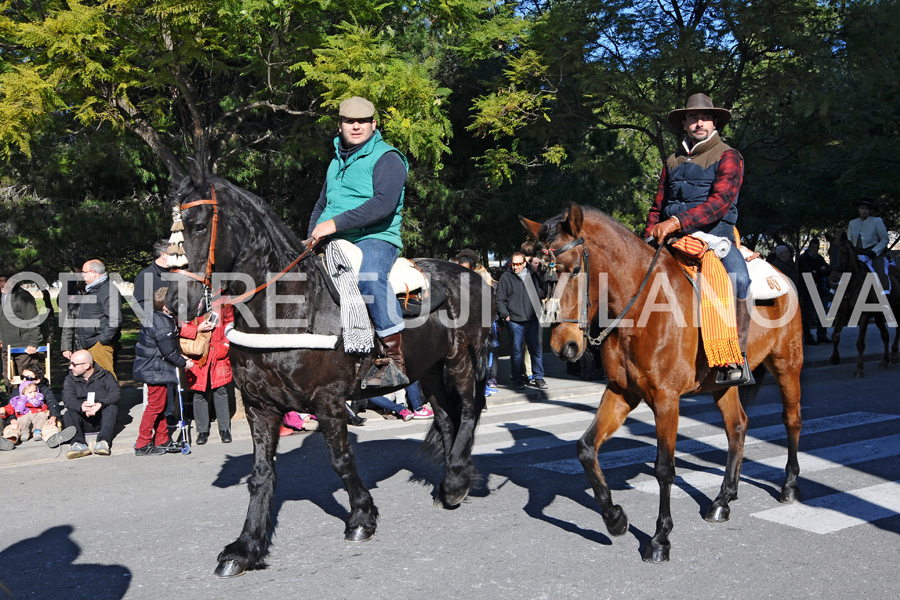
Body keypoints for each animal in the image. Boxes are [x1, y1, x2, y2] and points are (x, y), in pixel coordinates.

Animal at [165, 172, 496, 576]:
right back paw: (450, 480)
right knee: (448, 419)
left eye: (198, 225)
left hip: (460, 360)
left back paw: (456, 480)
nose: (173, 302)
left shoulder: (328, 402)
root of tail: (472, 276)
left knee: (469, 411)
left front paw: (361, 517)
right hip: (429, 370)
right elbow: (261, 475)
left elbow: (341, 461)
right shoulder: (261, 407)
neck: (289, 307)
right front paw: (245, 547)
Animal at [520, 205, 800, 564]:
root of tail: (783, 277)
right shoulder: (622, 391)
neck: (642, 308)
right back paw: (723, 500)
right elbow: (585, 448)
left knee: (791, 420)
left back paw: (789, 485)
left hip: (787, 365)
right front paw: (614, 518)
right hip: (722, 385)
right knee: (737, 427)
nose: (562, 346)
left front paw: (659, 538)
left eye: (575, 269)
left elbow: (664, 468)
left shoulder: (667, 400)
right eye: (541, 275)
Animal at [828, 233, 896, 378]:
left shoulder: (863, 314)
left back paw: (894, 354)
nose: (834, 278)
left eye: (843, 252)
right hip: (879, 316)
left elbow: (860, 343)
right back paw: (884, 361)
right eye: (829, 252)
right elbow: (835, 336)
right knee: (885, 334)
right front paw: (835, 358)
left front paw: (859, 369)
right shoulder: (840, 312)